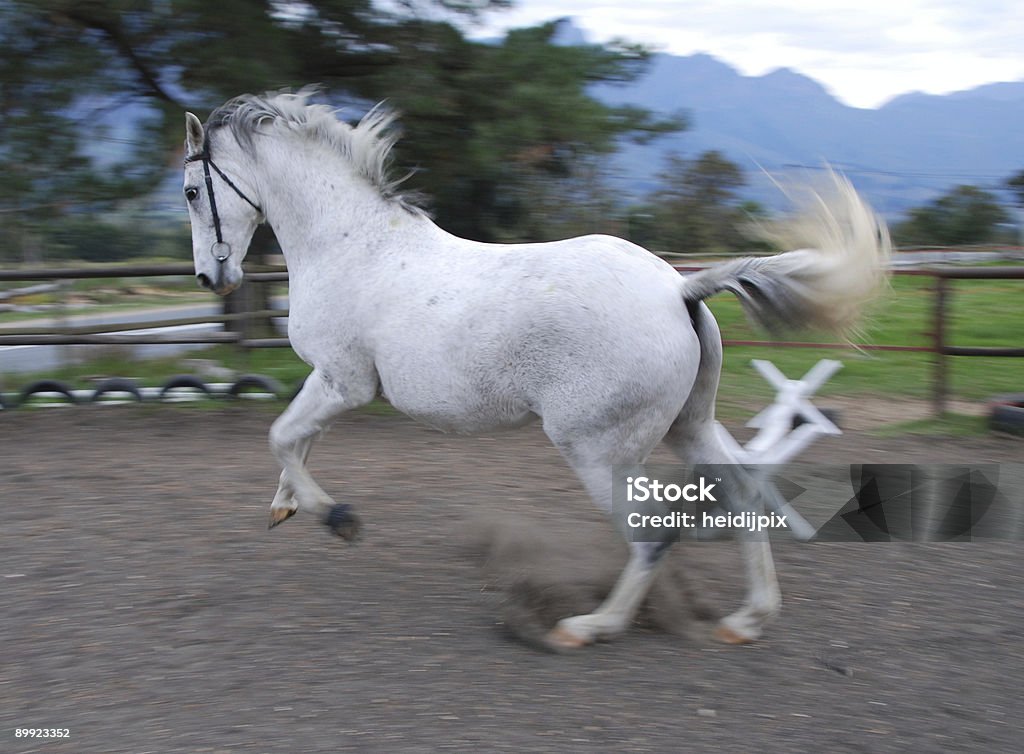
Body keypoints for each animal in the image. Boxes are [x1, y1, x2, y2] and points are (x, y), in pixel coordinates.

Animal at [182, 92, 888, 647]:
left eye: (191, 191)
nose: (212, 279)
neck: (351, 244)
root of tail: (677, 289)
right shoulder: (332, 381)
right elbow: (295, 438)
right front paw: (286, 507)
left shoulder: (344, 381)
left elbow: (282, 436)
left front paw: (339, 519)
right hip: (689, 425)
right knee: (742, 492)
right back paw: (748, 618)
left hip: (597, 448)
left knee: (651, 536)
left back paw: (587, 627)